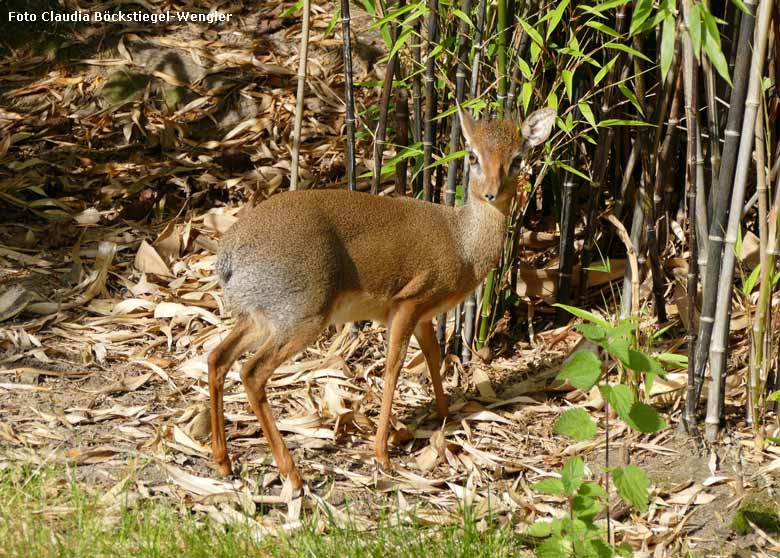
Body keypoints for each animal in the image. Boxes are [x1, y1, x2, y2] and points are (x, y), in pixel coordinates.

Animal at [210, 106, 556, 490]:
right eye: (473, 156)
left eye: (517, 159)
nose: (491, 194)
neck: (462, 243)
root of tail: (228, 255)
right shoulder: (407, 305)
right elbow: (393, 367)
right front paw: (382, 453)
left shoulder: (425, 315)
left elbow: (433, 357)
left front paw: (444, 415)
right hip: (302, 318)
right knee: (251, 372)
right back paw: (292, 474)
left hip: (260, 318)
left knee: (217, 357)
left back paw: (224, 462)